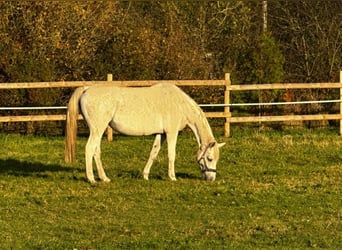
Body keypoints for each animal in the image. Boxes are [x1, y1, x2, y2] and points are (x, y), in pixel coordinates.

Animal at [65, 83, 224, 183]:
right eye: (209, 158)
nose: (211, 179)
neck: (179, 104)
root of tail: (87, 88)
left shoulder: (161, 134)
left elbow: (153, 152)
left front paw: (145, 175)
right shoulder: (171, 133)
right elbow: (171, 155)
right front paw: (172, 177)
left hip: (98, 131)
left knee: (96, 151)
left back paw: (104, 178)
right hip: (97, 129)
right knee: (89, 149)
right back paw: (91, 179)